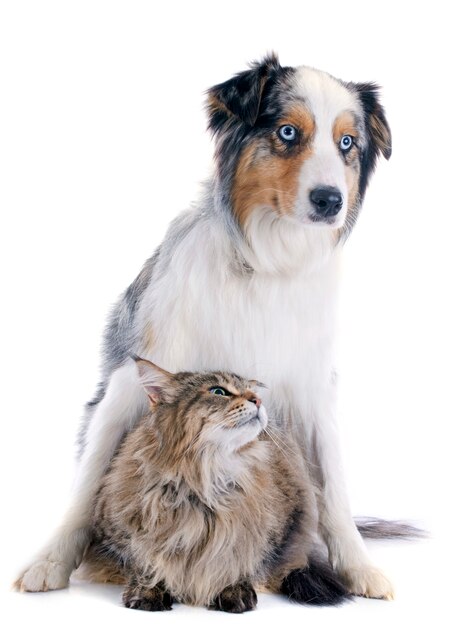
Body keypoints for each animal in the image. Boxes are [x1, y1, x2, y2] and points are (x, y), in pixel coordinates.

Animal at [84, 356, 350, 608]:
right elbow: (142, 562)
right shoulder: (116, 533)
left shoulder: (269, 534)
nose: (257, 400)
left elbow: (241, 561)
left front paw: (233, 590)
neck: (206, 481)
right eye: (219, 391)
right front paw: (148, 591)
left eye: (252, 391)